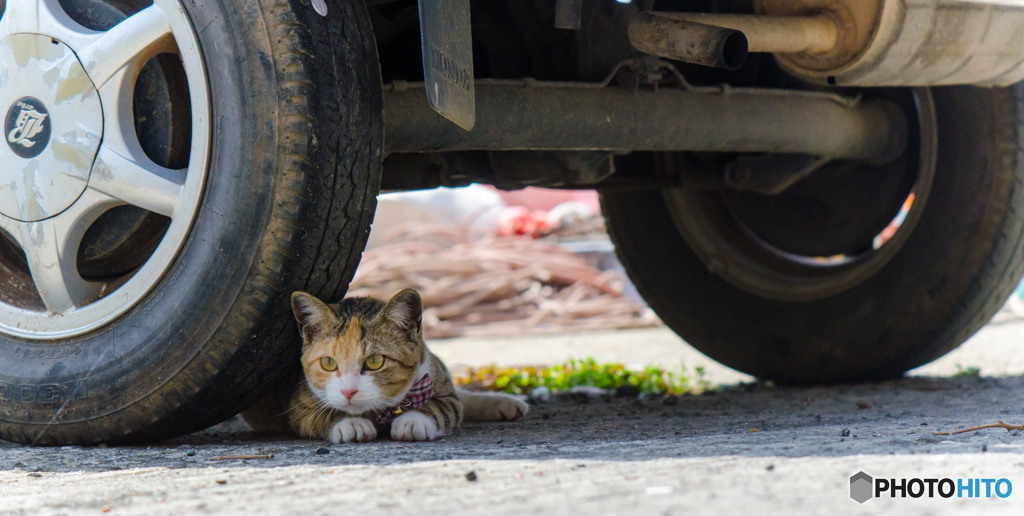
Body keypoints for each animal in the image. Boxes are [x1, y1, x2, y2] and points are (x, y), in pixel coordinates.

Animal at [242, 288, 524, 442]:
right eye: (328, 362)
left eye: (374, 361)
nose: (348, 391)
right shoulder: (299, 403)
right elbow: (319, 415)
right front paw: (350, 423)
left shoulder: (437, 384)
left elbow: (445, 405)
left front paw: (413, 420)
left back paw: (504, 403)